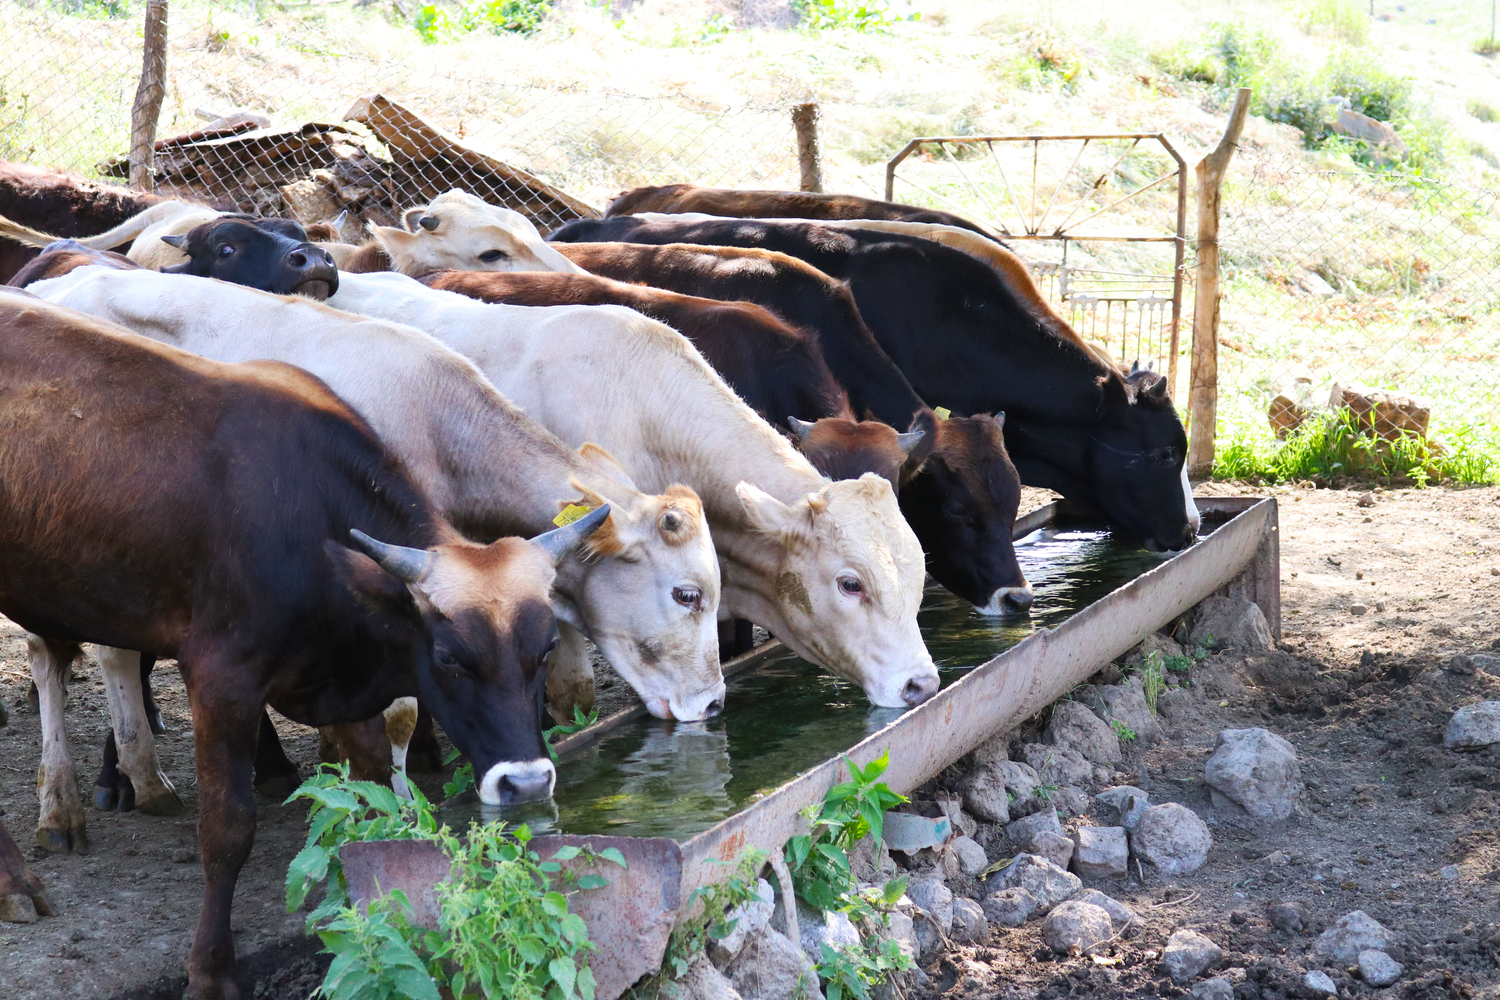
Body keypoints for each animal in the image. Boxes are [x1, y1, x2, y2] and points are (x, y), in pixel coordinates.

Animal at [5, 287, 603, 995]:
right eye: (449, 659)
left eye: (545, 650)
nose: (528, 785)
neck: (310, 523)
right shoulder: (222, 679)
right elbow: (227, 830)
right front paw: (211, 971)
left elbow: (370, 792)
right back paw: (20, 875)